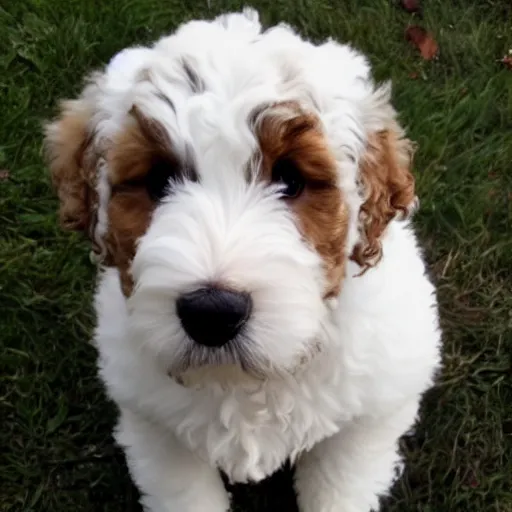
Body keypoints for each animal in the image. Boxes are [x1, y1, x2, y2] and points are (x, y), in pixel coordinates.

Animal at [46, 9, 442, 512]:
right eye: (157, 180)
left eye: (291, 180)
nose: (212, 312)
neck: (244, 383)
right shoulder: (156, 429)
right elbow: (186, 495)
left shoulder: (368, 420)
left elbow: (337, 485)